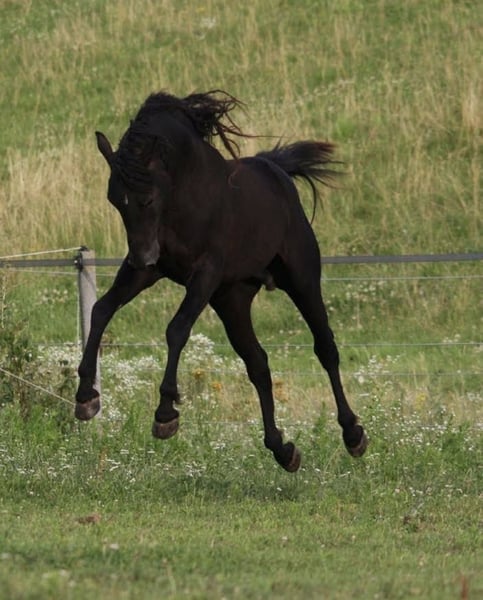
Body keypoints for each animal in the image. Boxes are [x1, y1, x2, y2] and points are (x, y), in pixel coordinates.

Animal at [75, 89, 368, 472]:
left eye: (147, 199)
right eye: (114, 200)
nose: (142, 255)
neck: (186, 196)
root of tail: (277, 172)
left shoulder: (205, 273)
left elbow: (176, 329)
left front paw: (166, 414)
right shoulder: (148, 271)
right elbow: (101, 310)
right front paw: (85, 398)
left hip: (302, 279)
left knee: (325, 348)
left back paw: (353, 434)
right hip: (232, 300)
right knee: (258, 363)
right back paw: (283, 449)